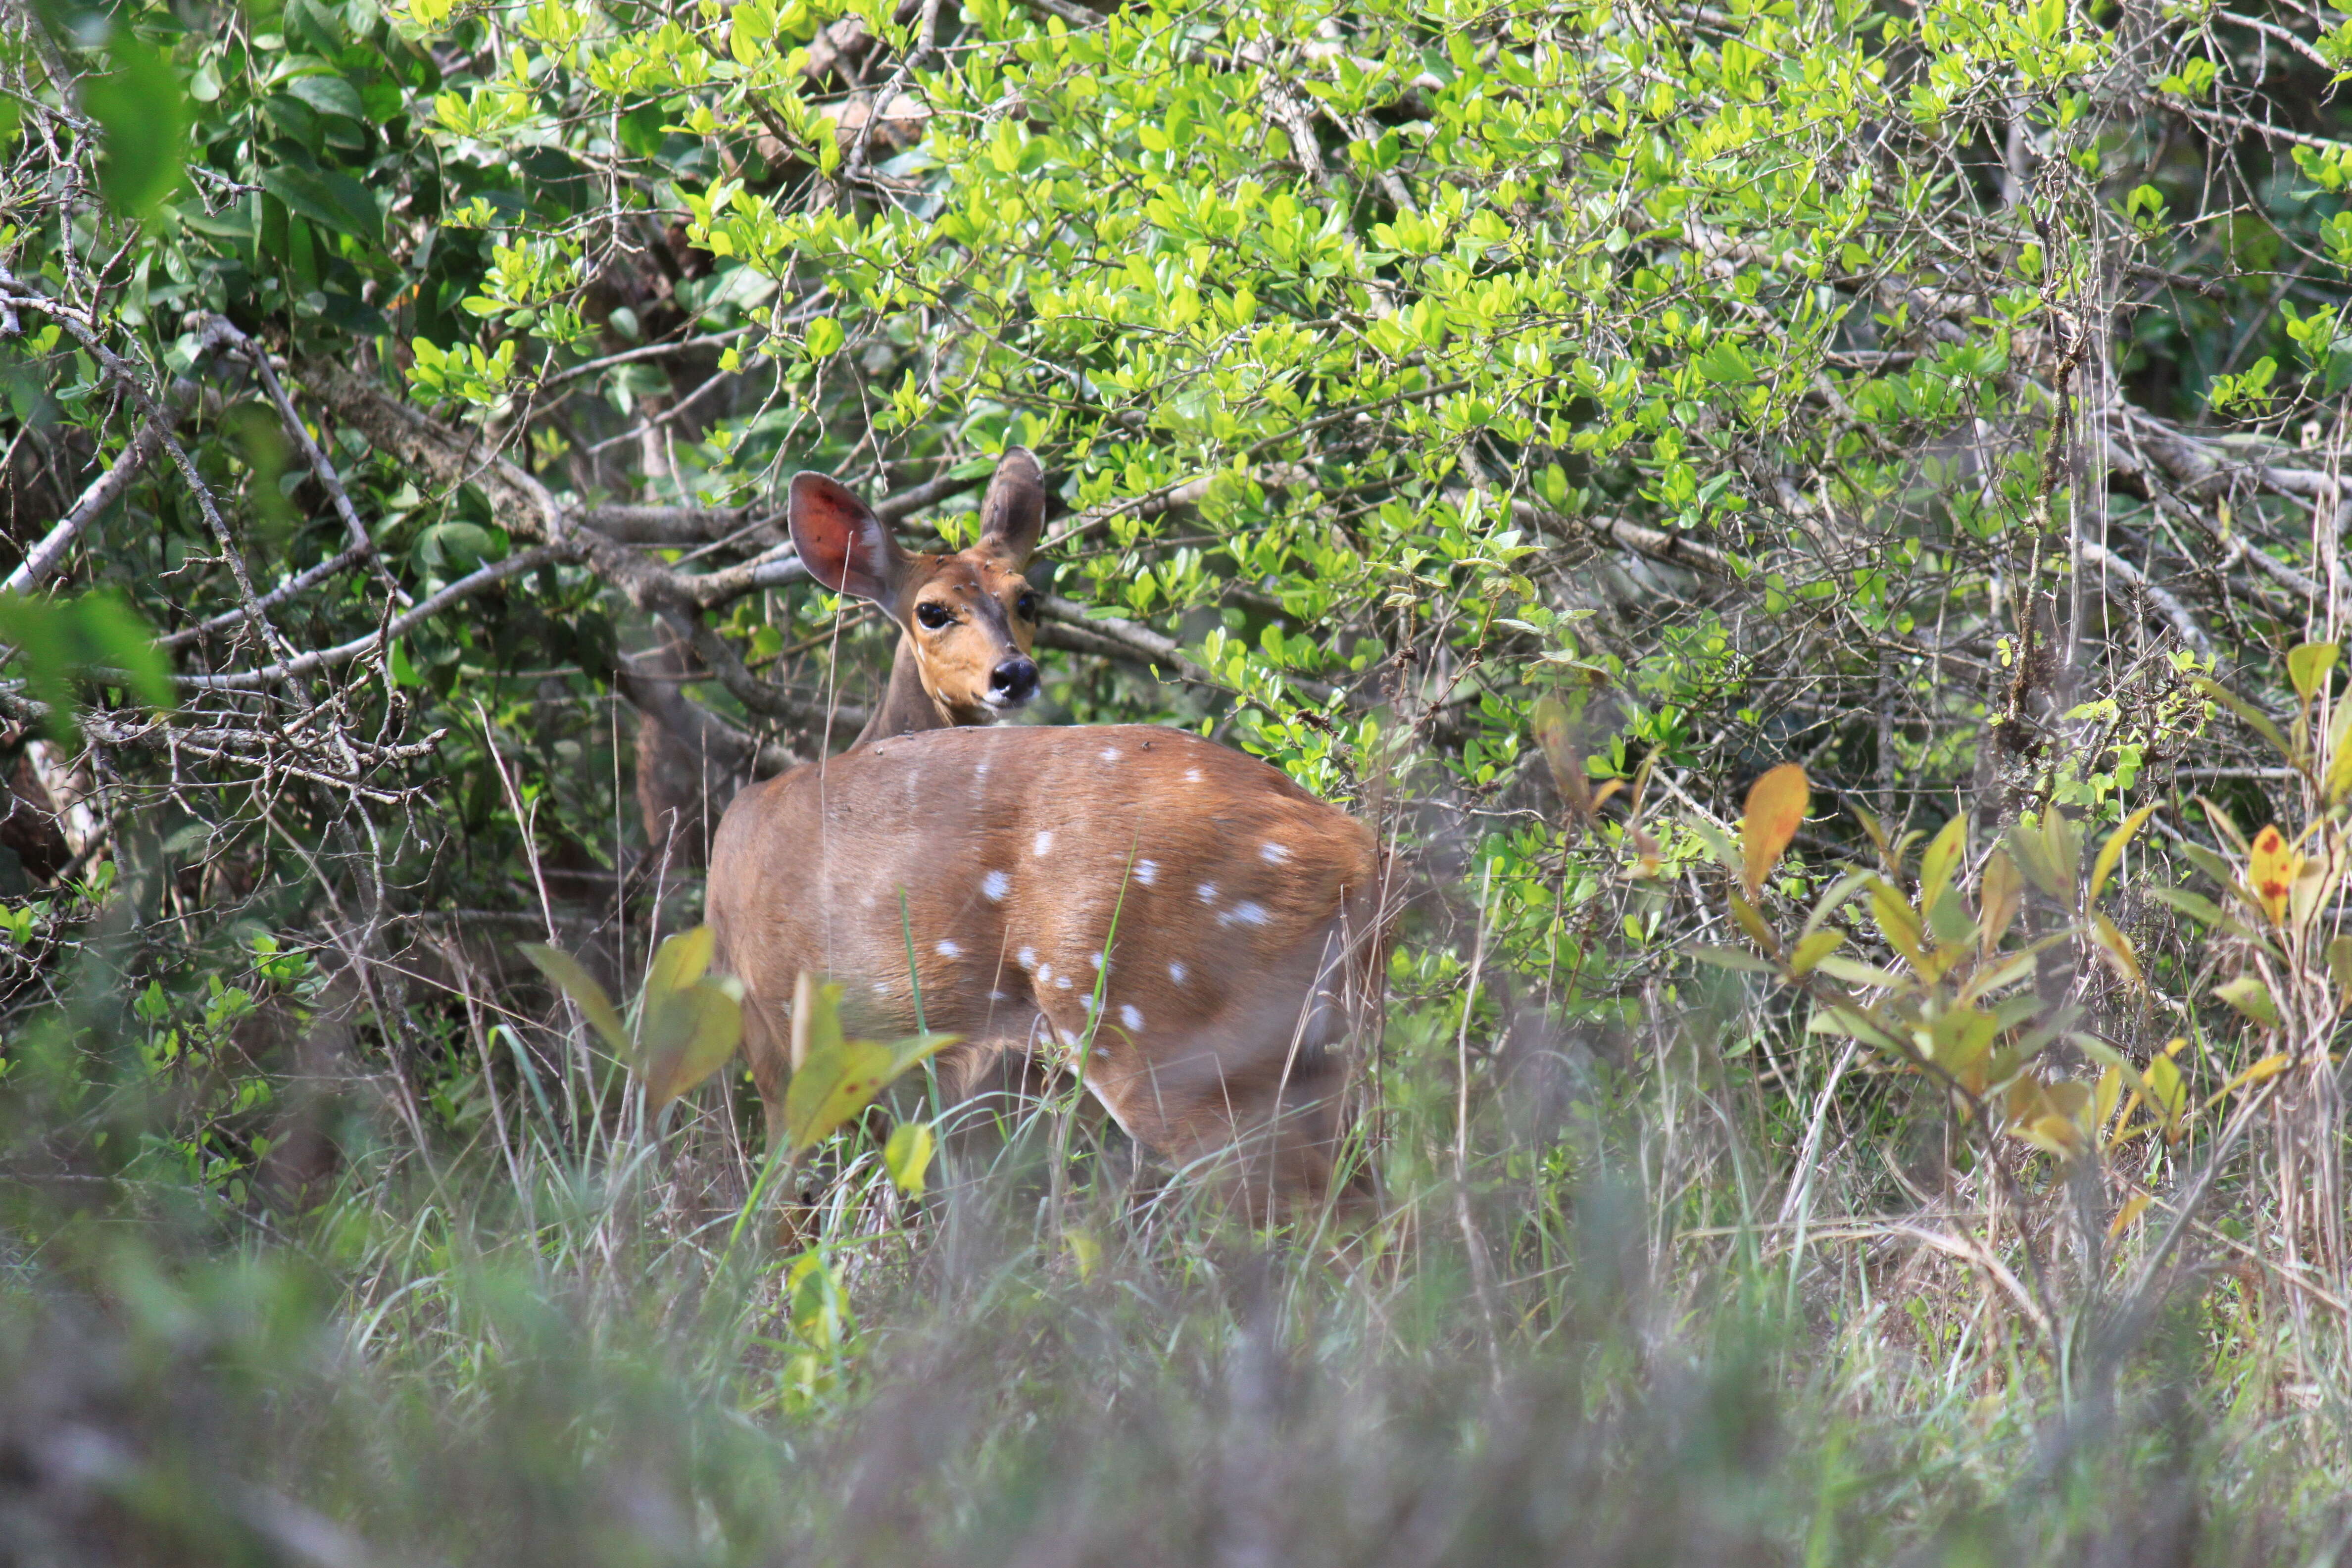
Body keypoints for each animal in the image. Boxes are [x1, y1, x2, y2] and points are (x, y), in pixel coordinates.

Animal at [705, 453, 1383, 1213]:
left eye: (1027, 599)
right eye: (931, 611)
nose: (1015, 673)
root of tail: (1357, 853)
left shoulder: (781, 1039)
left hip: (1149, 1016)